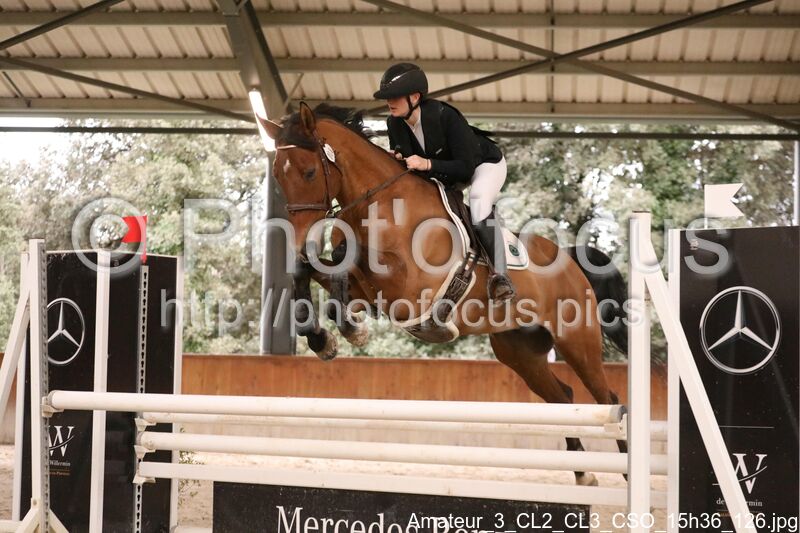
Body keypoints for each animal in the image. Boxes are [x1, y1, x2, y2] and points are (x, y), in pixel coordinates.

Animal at [258, 102, 629, 486]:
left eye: (310, 171)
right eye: (279, 177)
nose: (300, 243)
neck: (381, 204)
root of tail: (570, 260)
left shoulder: (408, 285)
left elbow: (351, 261)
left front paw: (350, 329)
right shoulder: (372, 290)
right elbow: (312, 272)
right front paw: (323, 339)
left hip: (577, 342)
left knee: (608, 398)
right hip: (520, 352)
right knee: (563, 398)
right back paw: (584, 475)